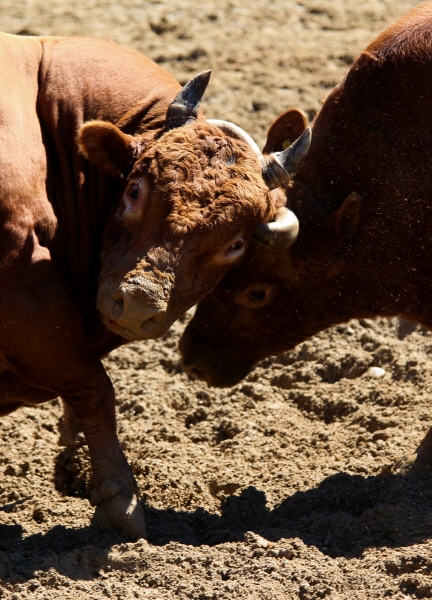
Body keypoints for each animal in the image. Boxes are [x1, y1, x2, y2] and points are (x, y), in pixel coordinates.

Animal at [0, 34, 312, 540]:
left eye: (236, 243)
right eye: (134, 190)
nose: (137, 304)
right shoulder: (26, 296)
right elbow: (94, 388)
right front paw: (119, 497)